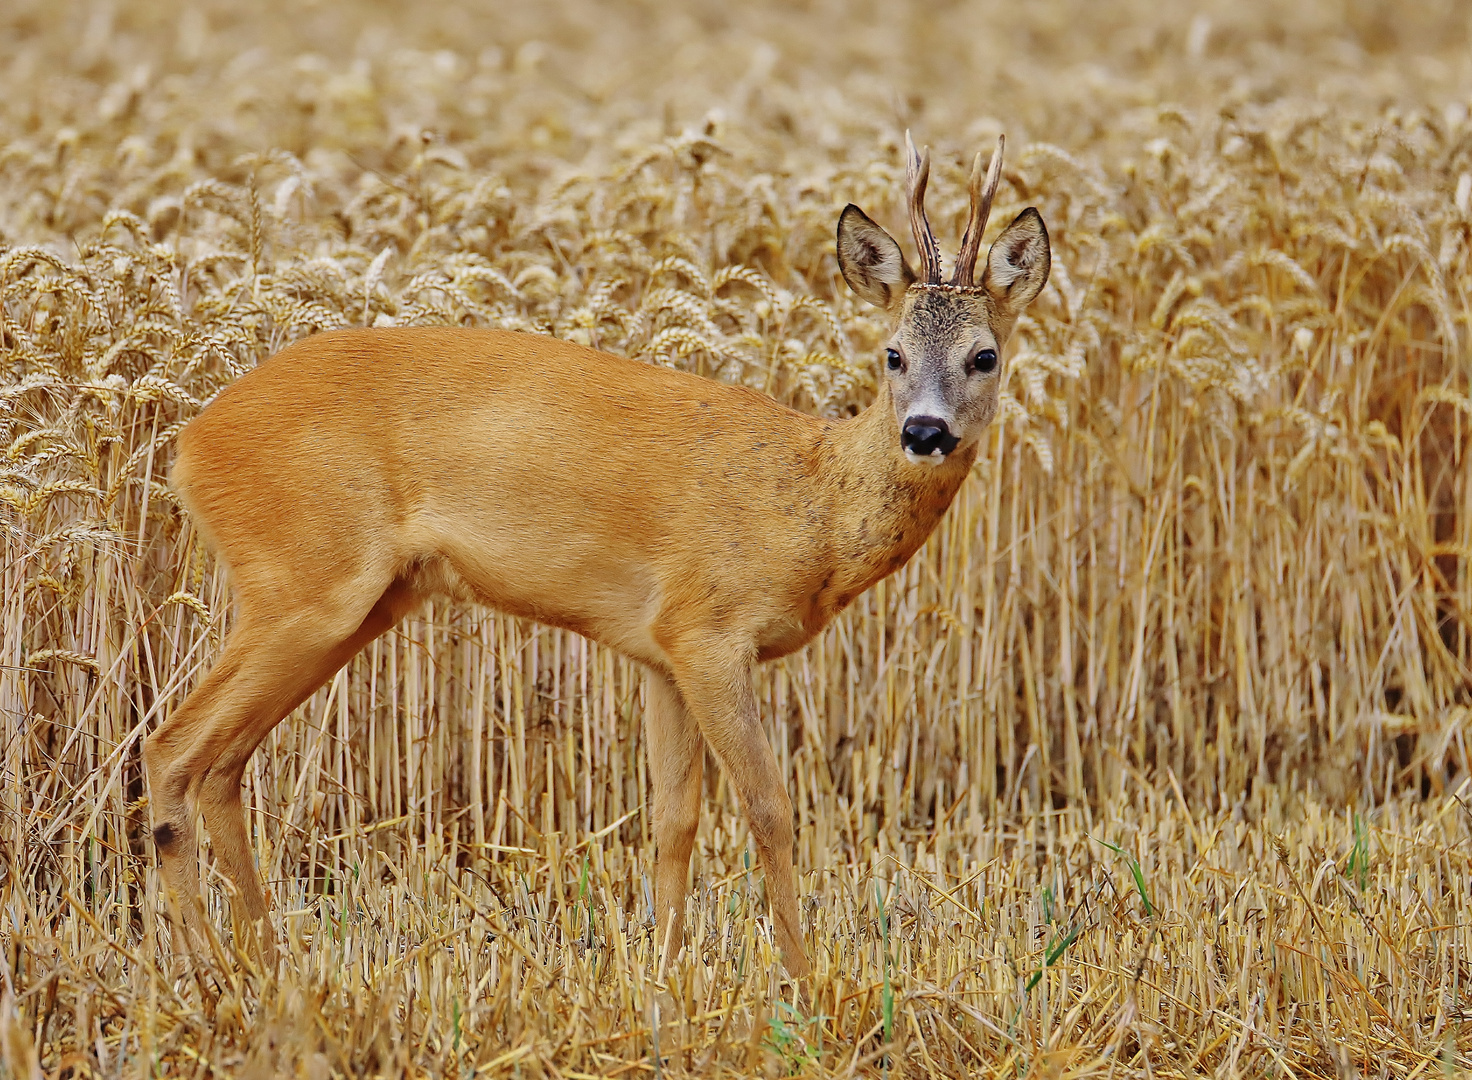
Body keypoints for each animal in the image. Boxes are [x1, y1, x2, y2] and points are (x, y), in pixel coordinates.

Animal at [143, 130, 1048, 977]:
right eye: (893, 353)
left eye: (985, 355)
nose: (924, 432)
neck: (811, 503)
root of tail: (190, 442)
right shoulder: (710, 633)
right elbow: (769, 806)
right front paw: (802, 979)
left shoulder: (662, 652)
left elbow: (675, 819)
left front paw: (667, 972)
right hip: (302, 583)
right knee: (171, 746)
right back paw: (201, 966)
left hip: (355, 604)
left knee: (222, 761)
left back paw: (260, 962)